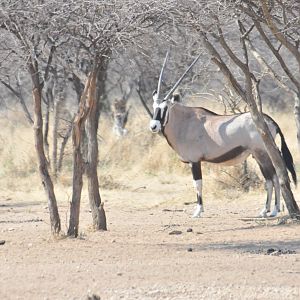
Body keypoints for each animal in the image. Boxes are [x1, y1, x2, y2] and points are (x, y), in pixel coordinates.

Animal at [149, 53, 296, 218]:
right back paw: (266, 210)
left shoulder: (194, 161)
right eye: (154, 107)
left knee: (273, 178)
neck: (185, 122)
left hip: (262, 154)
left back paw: (273, 210)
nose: (153, 126)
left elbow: (198, 184)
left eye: (165, 108)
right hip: (258, 155)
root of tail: (270, 121)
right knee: (271, 179)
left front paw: (198, 211)